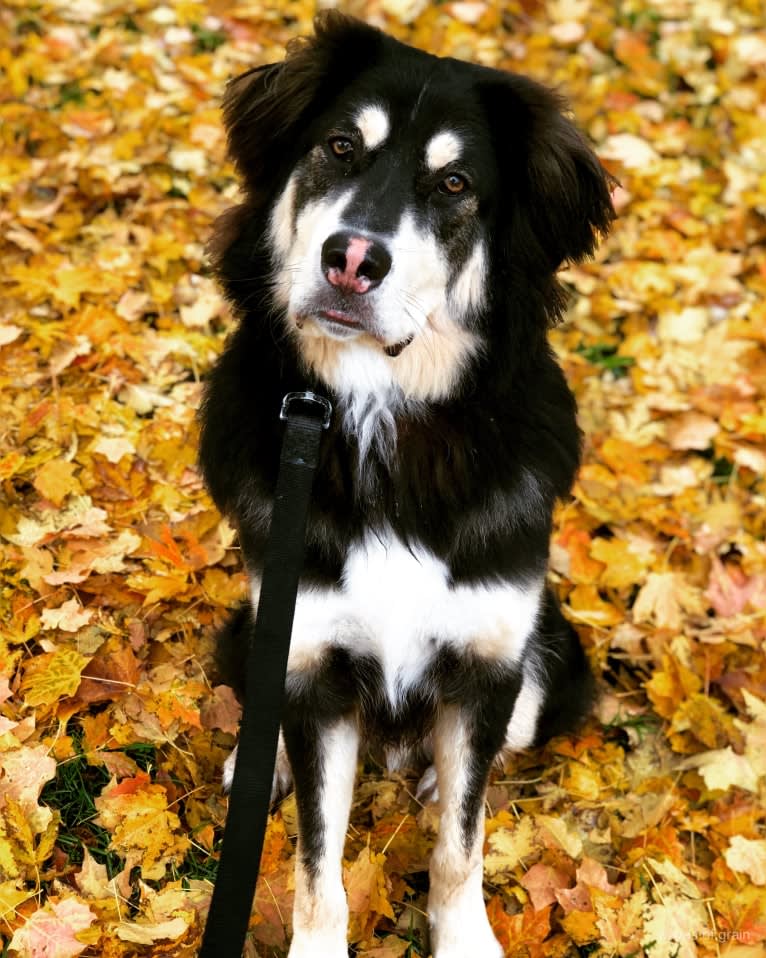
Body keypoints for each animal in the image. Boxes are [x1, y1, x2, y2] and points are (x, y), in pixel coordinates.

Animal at [200, 11, 616, 956]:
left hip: (551, 655)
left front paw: (464, 937)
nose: (351, 258)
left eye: (455, 183)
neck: (387, 421)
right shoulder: (309, 658)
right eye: (340, 146)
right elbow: (317, 863)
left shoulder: (491, 661)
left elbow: (462, 845)